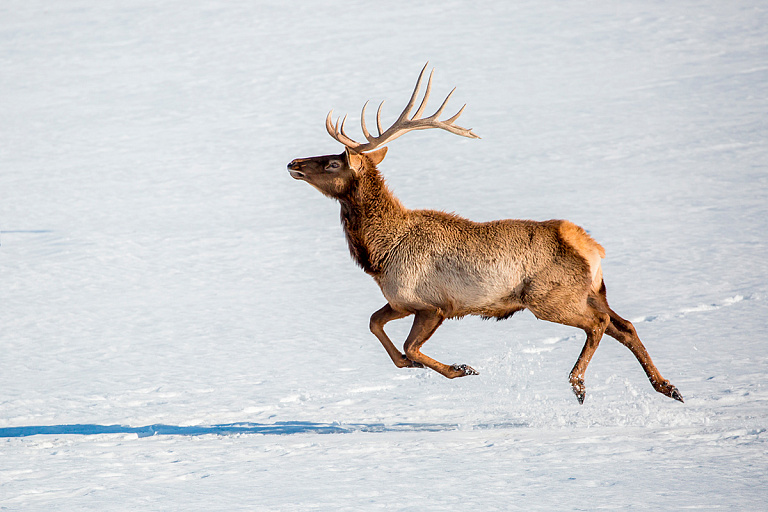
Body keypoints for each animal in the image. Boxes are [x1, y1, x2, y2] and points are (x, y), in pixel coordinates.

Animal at [288, 63, 684, 404]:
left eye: (333, 163)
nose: (293, 162)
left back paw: (578, 383)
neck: (377, 254)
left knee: (598, 324)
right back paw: (668, 387)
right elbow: (376, 326)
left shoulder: (433, 304)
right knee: (626, 325)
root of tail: (590, 246)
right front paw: (420, 366)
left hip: (548, 298)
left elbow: (409, 346)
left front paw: (462, 368)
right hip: (592, 291)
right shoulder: (401, 302)